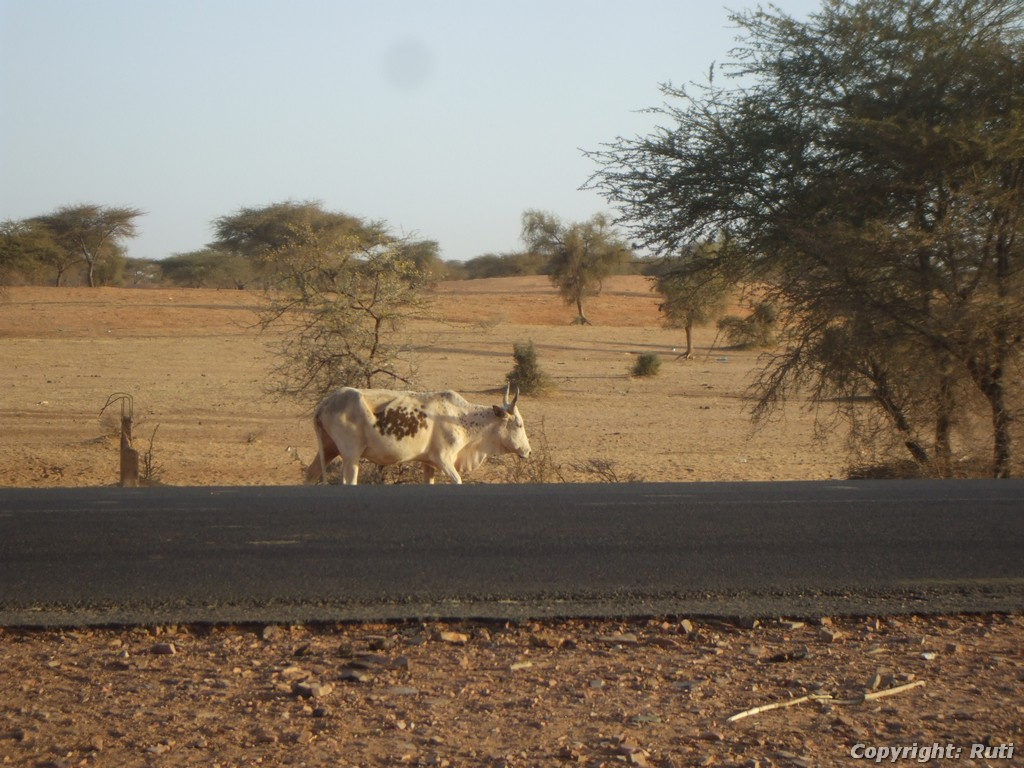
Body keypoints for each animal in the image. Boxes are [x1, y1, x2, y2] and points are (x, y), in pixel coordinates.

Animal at [303, 385, 532, 487]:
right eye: (519, 424)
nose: (528, 452)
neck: (461, 418)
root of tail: (324, 405)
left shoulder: (428, 464)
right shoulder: (444, 459)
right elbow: (457, 480)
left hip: (329, 449)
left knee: (311, 473)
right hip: (351, 457)